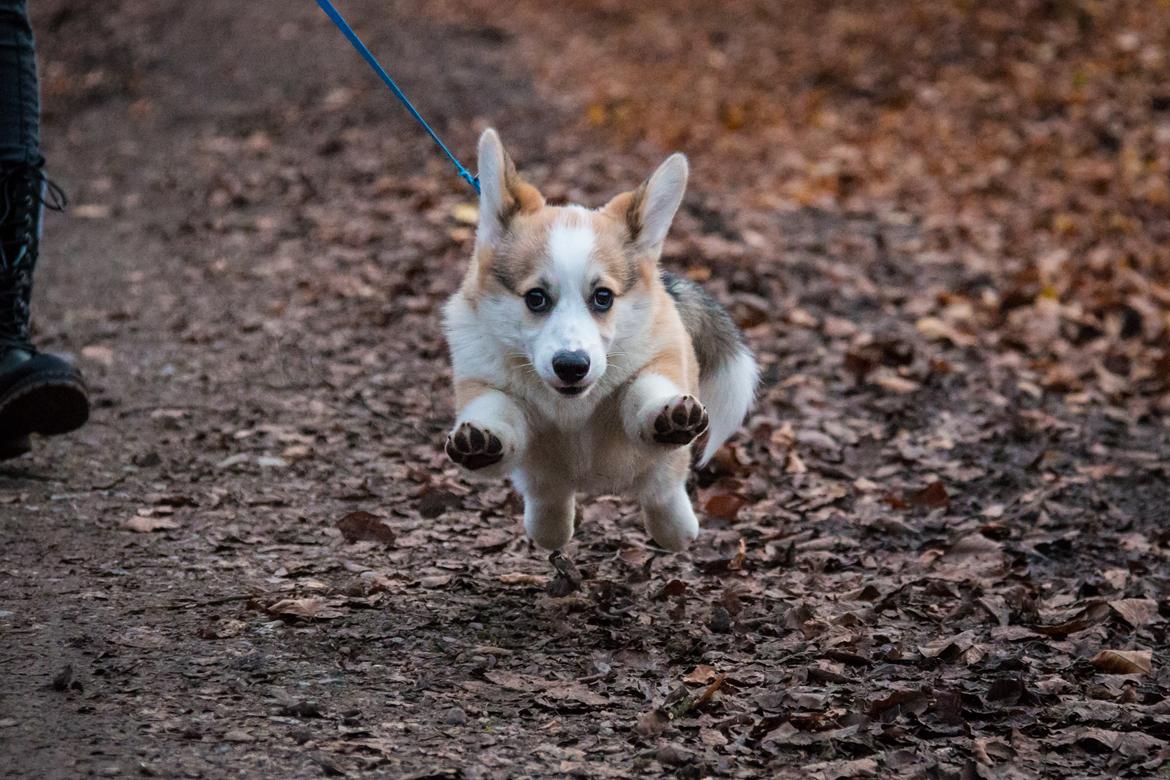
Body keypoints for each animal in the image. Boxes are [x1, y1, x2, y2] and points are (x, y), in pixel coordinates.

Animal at [439, 129, 758, 549]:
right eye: (535, 298)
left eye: (603, 297)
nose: (572, 367)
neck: (571, 406)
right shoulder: (488, 386)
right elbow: (496, 412)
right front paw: (480, 442)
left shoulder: (653, 364)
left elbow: (644, 392)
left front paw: (670, 416)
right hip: (545, 480)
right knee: (550, 496)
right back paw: (550, 529)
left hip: (661, 469)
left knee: (663, 486)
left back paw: (677, 529)